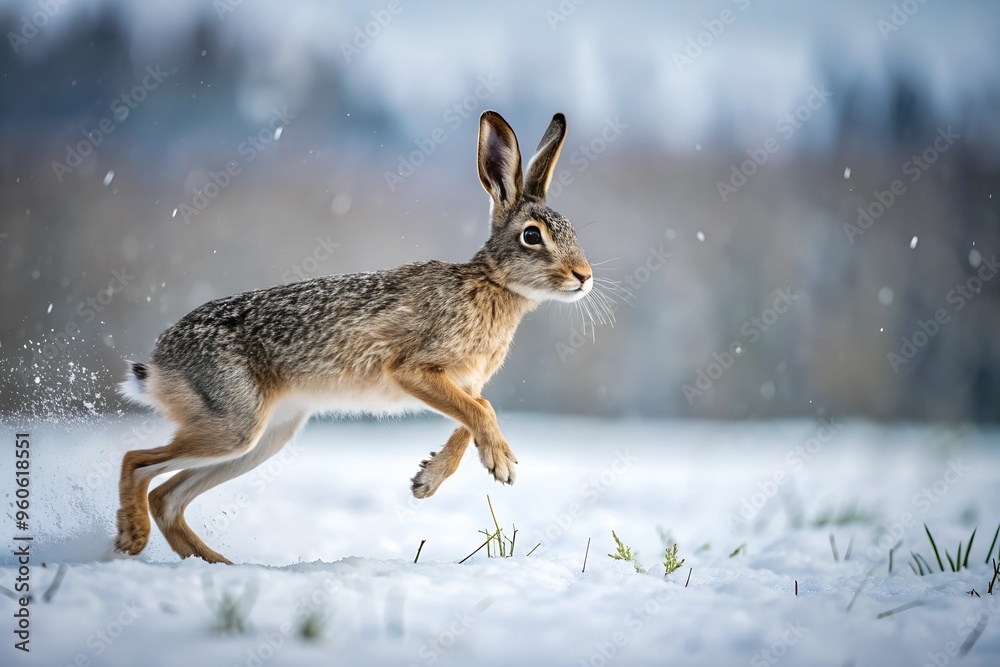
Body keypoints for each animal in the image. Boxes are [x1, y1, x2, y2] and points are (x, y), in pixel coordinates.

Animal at [116, 110, 594, 564]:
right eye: (531, 235)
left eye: (573, 230)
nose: (584, 276)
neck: (493, 284)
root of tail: (160, 362)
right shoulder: (413, 370)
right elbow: (482, 410)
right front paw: (502, 465)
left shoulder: (464, 383)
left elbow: (471, 416)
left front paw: (427, 480)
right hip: (234, 423)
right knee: (137, 462)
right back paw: (133, 538)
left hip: (261, 440)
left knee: (167, 497)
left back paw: (218, 563)